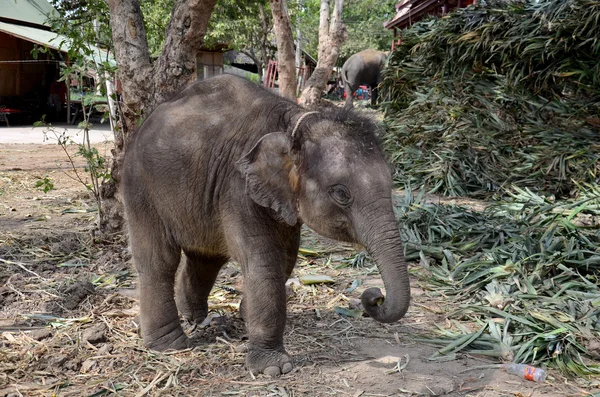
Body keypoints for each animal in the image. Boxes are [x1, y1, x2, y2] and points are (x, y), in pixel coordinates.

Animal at [122, 73, 412, 374]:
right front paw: (274, 369)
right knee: (160, 261)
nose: (374, 296)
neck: (294, 123)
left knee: (206, 258)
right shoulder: (237, 187)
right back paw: (171, 346)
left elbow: (286, 258)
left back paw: (196, 319)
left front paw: (246, 318)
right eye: (342, 193)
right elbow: (264, 261)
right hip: (140, 188)